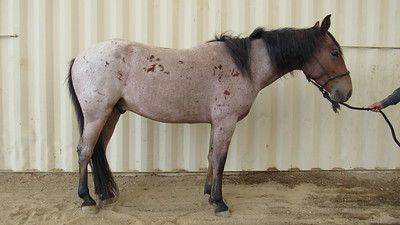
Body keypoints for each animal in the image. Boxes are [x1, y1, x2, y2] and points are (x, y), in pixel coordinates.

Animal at [67, 14, 352, 217]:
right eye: (334, 52)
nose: (346, 91)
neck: (246, 66)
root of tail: (79, 57)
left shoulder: (217, 123)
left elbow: (211, 156)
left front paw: (208, 193)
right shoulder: (226, 122)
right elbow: (220, 159)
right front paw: (219, 202)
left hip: (111, 113)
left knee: (98, 149)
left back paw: (104, 195)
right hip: (97, 113)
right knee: (85, 149)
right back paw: (87, 200)